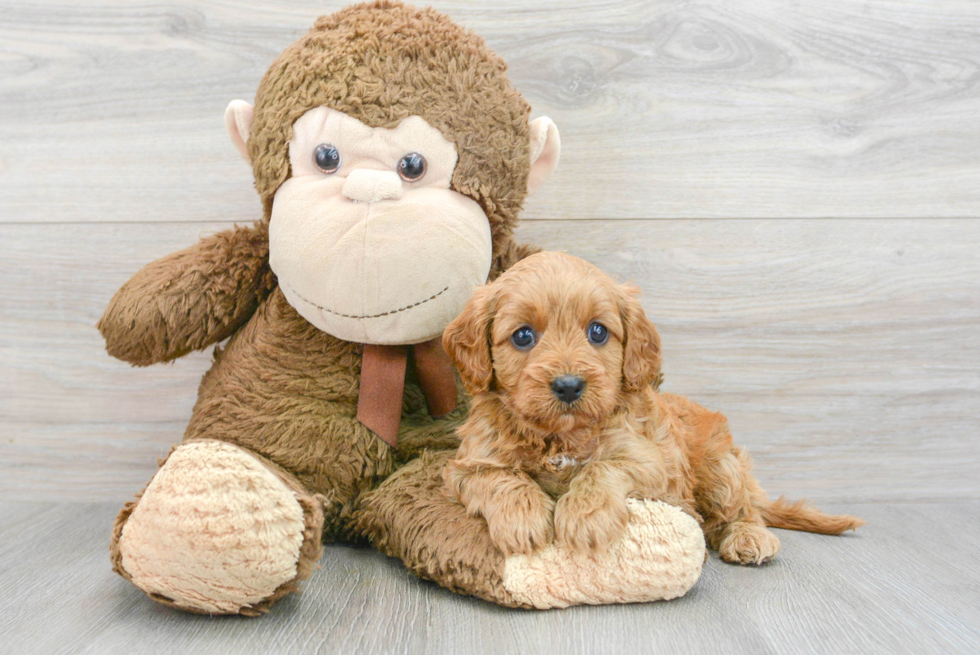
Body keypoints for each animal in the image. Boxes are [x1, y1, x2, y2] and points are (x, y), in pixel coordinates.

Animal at [440, 251, 860, 564]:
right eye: (523, 336)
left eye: (597, 332)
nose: (569, 385)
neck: (561, 437)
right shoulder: (466, 465)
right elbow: (500, 478)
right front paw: (521, 518)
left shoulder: (648, 461)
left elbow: (601, 468)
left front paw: (585, 516)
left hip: (720, 469)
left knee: (741, 509)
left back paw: (748, 537)